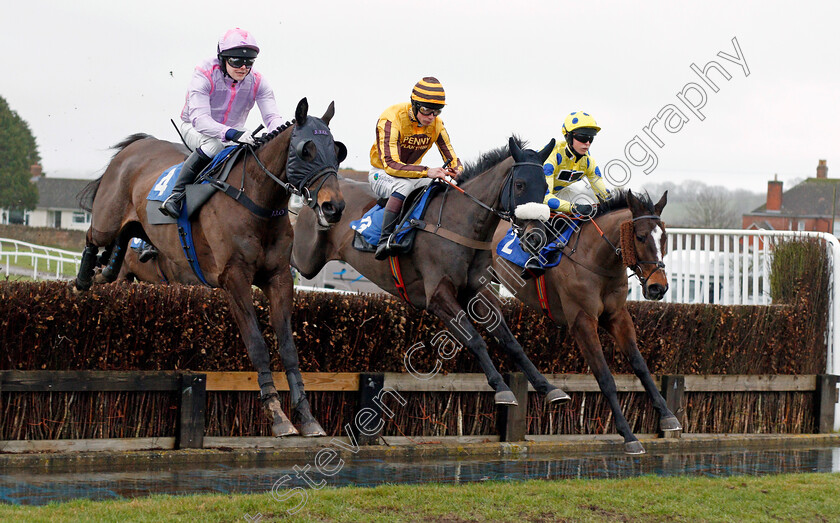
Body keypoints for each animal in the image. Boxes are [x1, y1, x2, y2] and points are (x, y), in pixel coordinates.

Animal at [74, 98, 346, 438]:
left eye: (337, 151)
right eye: (306, 150)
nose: (334, 207)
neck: (256, 201)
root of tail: (136, 146)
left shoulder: (279, 277)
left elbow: (288, 347)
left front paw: (307, 416)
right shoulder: (235, 278)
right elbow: (257, 345)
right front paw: (277, 416)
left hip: (137, 229)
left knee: (118, 252)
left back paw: (103, 271)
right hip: (106, 221)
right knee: (92, 237)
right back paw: (83, 276)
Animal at [292, 138, 576, 406]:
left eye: (546, 188)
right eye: (519, 185)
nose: (536, 237)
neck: (459, 225)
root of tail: (317, 195)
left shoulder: (480, 293)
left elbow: (511, 342)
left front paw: (548, 387)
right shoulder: (438, 296)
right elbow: (474, 338)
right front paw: (502, 389)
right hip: (306, 260)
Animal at [488, 189, 680, 454]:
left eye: (664, 239)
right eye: (640, 237)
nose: (658, 287)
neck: (597, 261)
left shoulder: (617, 316)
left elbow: (640, 365)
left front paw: (668, 416)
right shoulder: (582, 321)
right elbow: (605, 377)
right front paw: (628, 436)